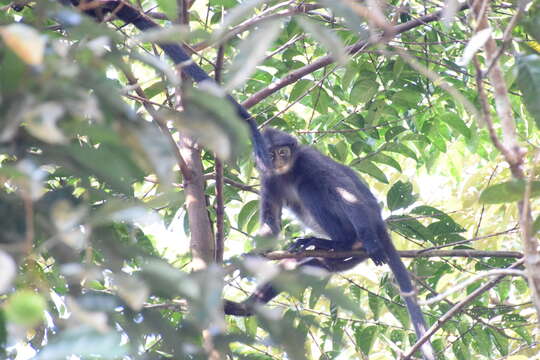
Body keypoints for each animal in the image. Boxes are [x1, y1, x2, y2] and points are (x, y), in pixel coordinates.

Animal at [226, 129, 436, 360]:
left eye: (283, 152)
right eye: (270, 154)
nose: (279, 161)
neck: (287, 173)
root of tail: (380, 225)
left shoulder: (308, 160)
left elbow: (347, 192)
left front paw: (370, 242)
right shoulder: (269, 179)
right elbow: (271, 227)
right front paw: (250, 256)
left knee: (311, 187)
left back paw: (341, 241)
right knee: (303, 264)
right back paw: (244, 308)